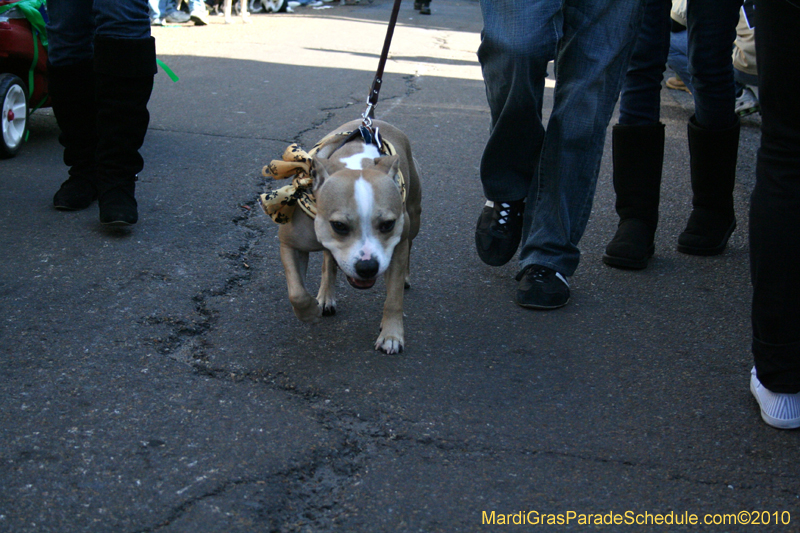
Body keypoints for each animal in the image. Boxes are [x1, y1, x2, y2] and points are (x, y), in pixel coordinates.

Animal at [260, 120, 424, 354]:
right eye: (339, 226)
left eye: (388, 225)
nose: (367, 267)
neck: (356, 163)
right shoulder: (290, 243)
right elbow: (297, 293)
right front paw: (309, 312)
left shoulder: (398, 245)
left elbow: (394, 298)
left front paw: (391, 335)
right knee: (328, 261)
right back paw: (325, 297)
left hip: (414, 218)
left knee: (409, 247)